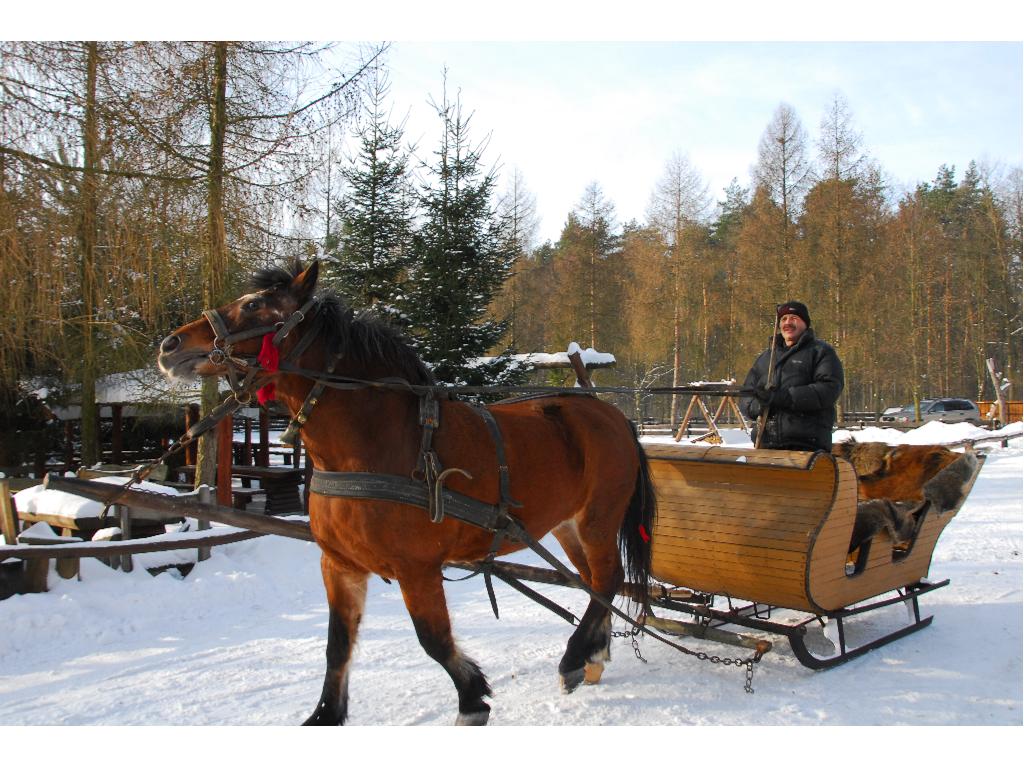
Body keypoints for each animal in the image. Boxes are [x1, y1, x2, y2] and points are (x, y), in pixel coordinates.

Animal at [159, 260, 655, 729]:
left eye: (256, 305)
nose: (170, 345)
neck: (375, 444)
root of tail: (611, 415)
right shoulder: (339, 564)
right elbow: (337, 646)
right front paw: (325, 715)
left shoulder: (417, 568)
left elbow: (432, 639)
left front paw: (472, 699)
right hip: (566, 526)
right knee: (595, 584)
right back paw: (593, 655)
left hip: (598, 519)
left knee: (607, 579)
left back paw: (574, 659)